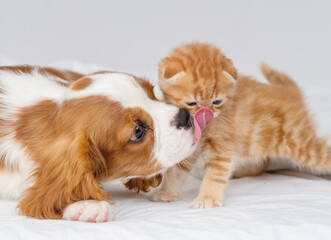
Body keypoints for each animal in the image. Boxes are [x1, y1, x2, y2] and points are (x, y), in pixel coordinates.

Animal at [126, 43, 330, 208]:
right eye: (192, 103)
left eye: (216, 102)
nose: (206, 114)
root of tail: (292, 92)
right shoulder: (188, 146)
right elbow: (175, 172)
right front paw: (165, 193)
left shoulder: (222, 145)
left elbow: (215, 173)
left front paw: (207, 198)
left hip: (300, 144)